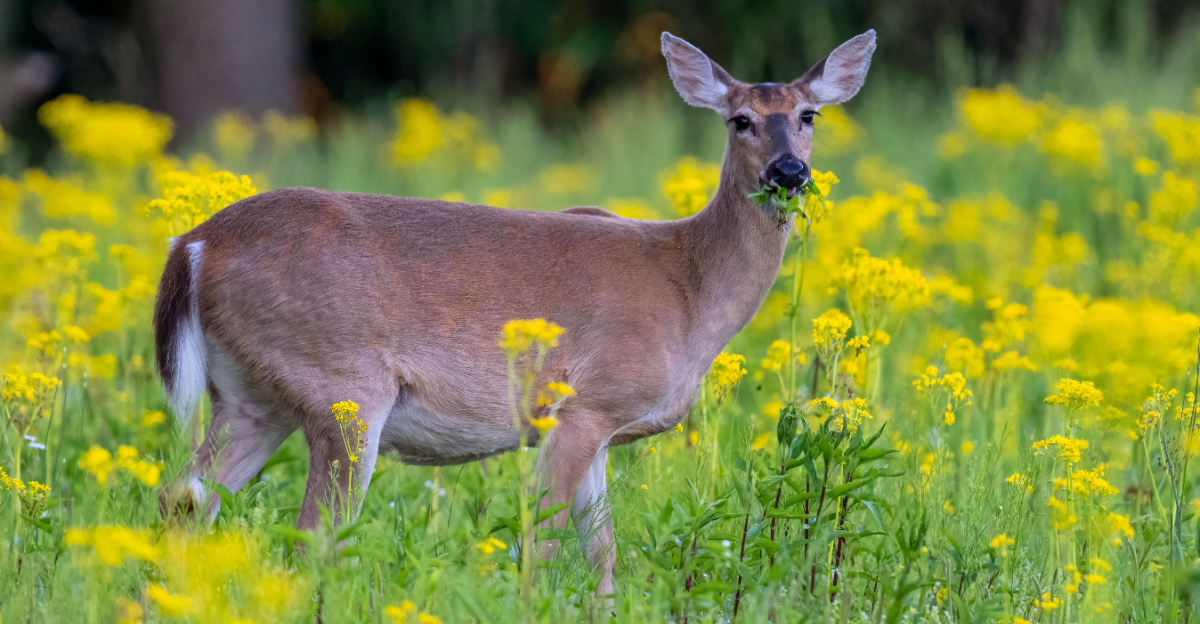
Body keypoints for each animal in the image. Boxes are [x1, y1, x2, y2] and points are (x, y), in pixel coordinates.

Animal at [154, 29, 876, 596]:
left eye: (810, 114)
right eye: (740, 119)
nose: (789, 173)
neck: (688, 288)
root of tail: (193, 244)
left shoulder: (603, 432)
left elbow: (603, 553)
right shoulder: (583, 405)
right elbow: (548, 543)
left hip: (252, 399)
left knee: (183, 501)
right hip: (343, 388)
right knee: (309, 533)